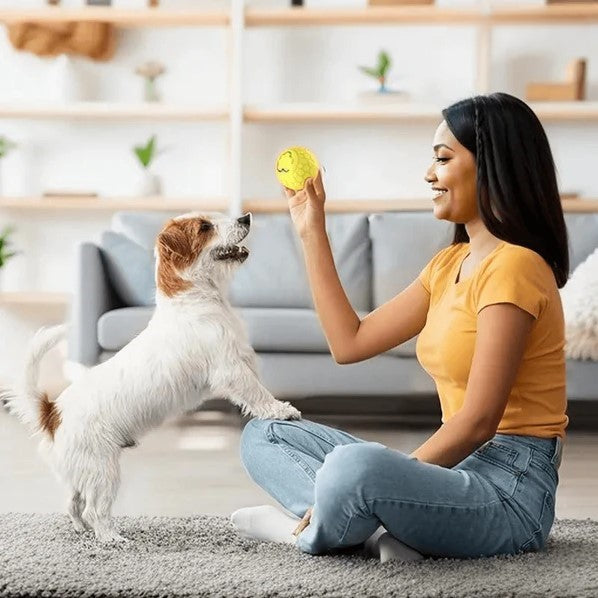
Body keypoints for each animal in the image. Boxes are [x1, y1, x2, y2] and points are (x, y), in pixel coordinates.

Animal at [2, 213, 302, 548]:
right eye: (204, 227)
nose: (245, 217)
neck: (192, 300)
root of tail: (52, 413)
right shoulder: (231, 370)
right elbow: (258, 393)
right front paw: (282, 410)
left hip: (81, 473)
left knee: (72, 503)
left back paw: (81, 530)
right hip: (103, 470)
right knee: (94, 509)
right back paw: (111, 538)